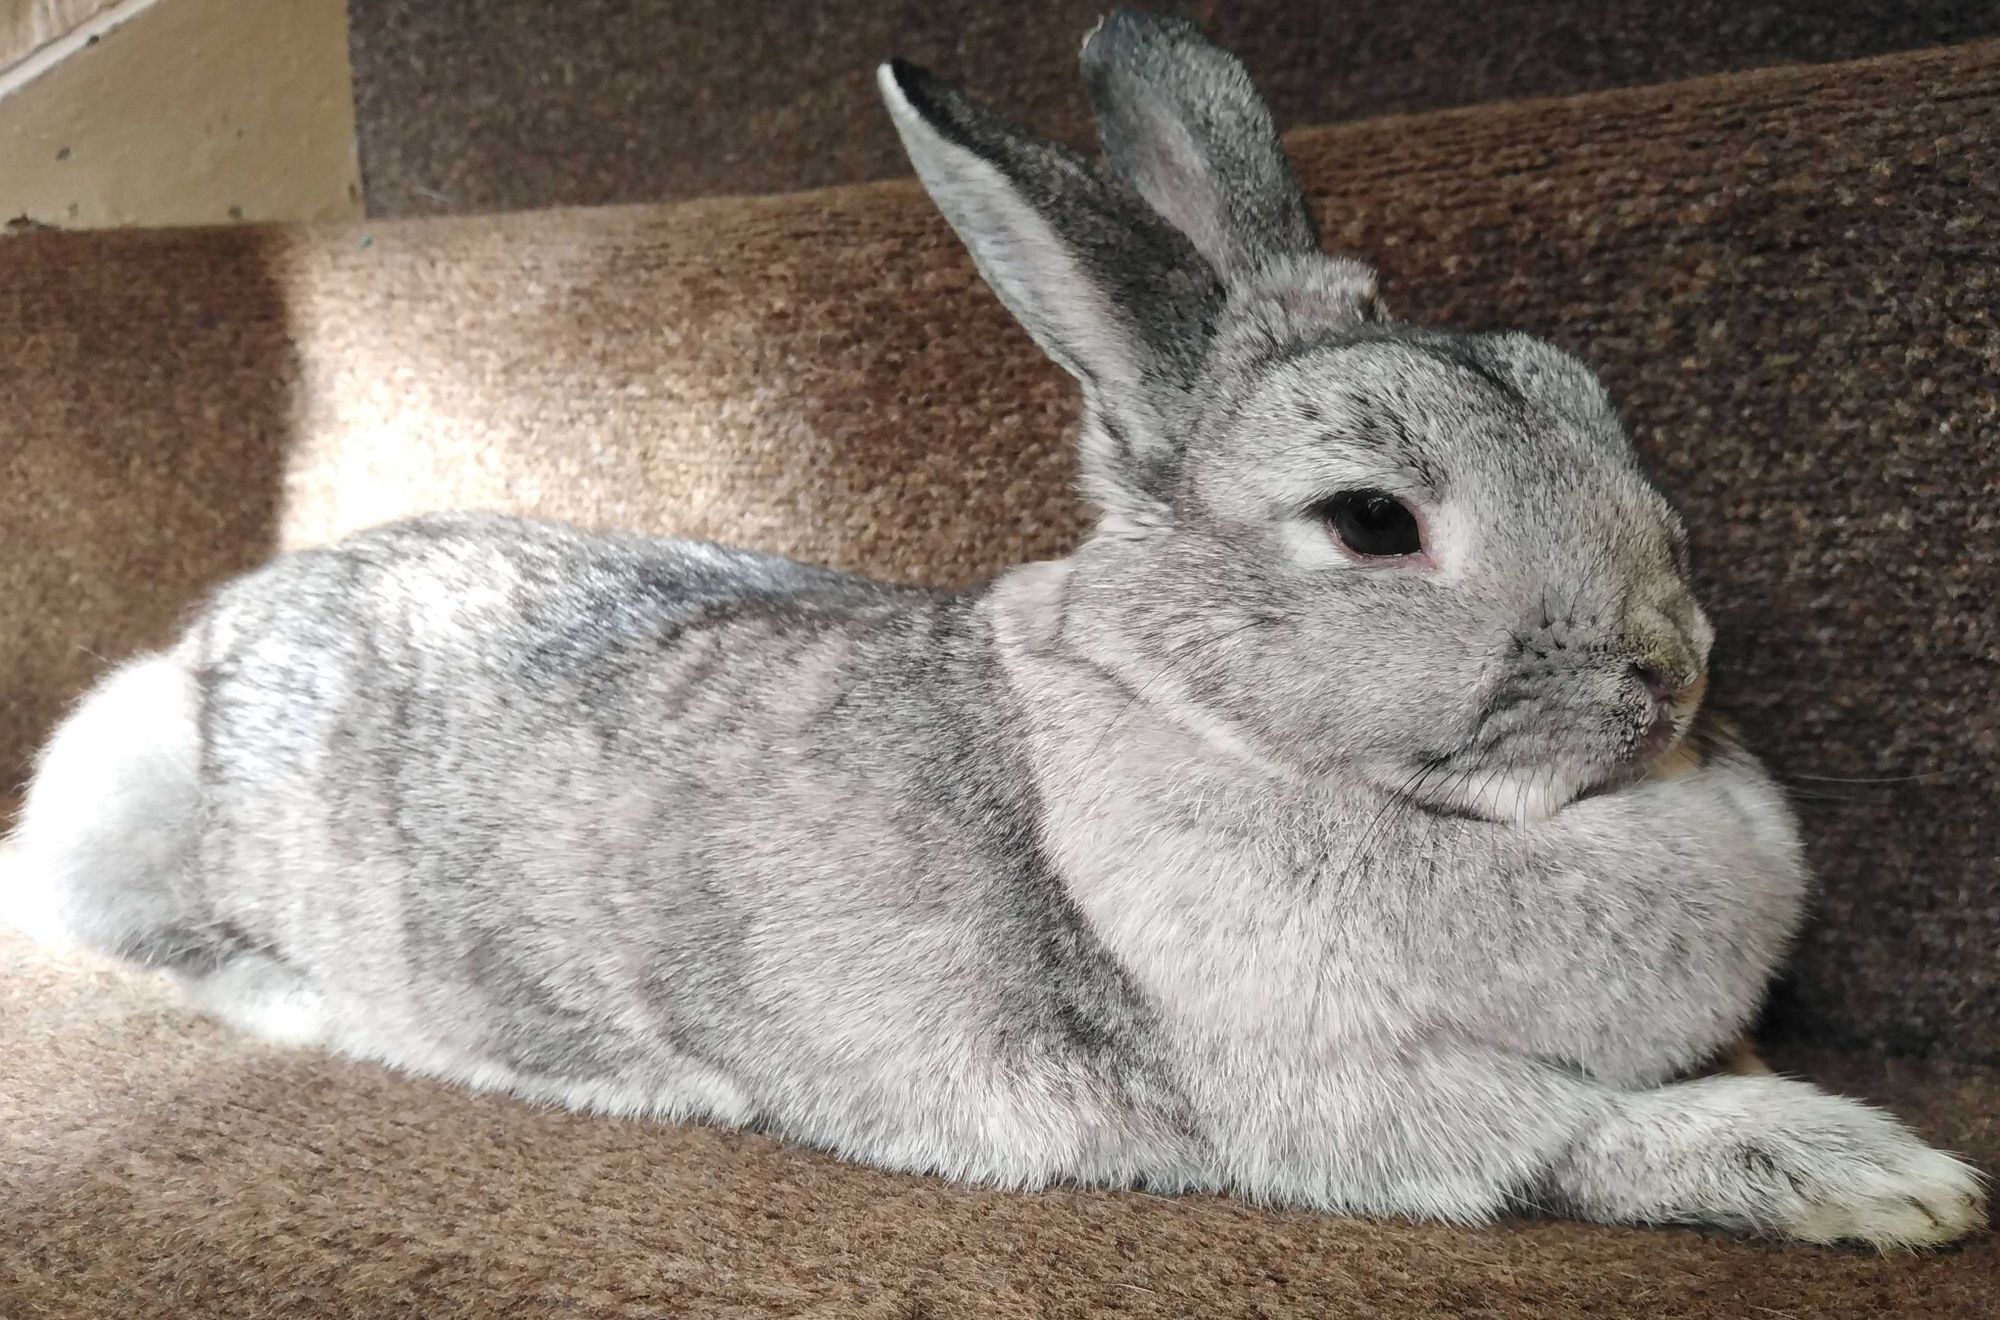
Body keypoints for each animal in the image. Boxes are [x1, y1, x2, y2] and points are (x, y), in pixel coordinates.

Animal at [7, 10, 1984, 1248]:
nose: (1674, 671)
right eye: (1371, 524)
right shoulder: (1342, 1107)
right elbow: (1594, 1138)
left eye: (1589, 402)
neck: (1213, 716)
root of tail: (210, 629)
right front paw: (1893, 1186)